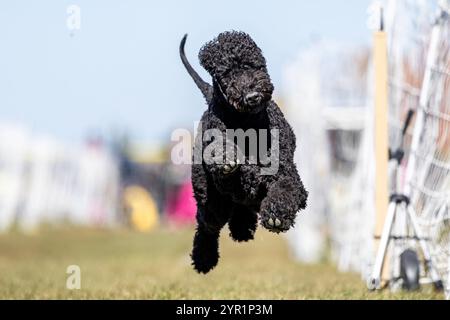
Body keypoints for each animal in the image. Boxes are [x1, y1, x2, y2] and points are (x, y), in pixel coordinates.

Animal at [181, 31, 308, 274]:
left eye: (254, 64)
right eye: (227, 73)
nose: (252, 95)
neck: (247, 123)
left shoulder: (287, 173)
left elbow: (285, 188)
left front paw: (277, 216)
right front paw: (227, 157)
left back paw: (242, 228)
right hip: (211, 202)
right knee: (206, 224)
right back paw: (204, 257)